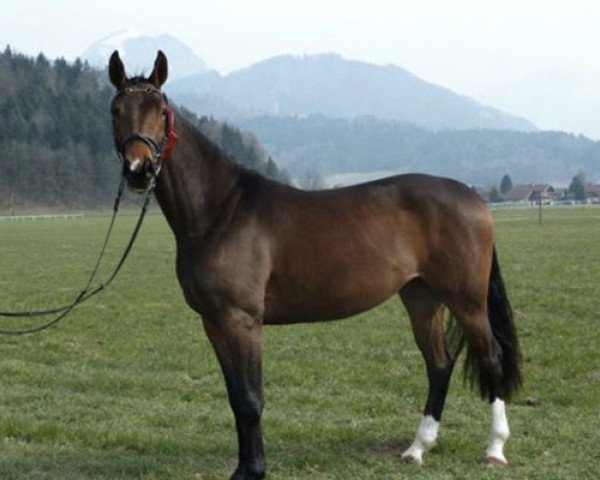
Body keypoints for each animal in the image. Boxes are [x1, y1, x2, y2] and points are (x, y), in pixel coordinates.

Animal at [108, 50, 520, 478]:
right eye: (116, 110)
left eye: (161, 111)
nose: (138, 170)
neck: (221, 209)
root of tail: (472, 197)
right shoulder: (214, 322)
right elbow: (236, 397)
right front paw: (244, 468)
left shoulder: (241, 320)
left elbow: (250, 398)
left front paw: (254, 470)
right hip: (421, 297)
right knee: (439, 365)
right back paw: (417, 449)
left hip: (466, 300)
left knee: (491, 359)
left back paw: (494, 448)